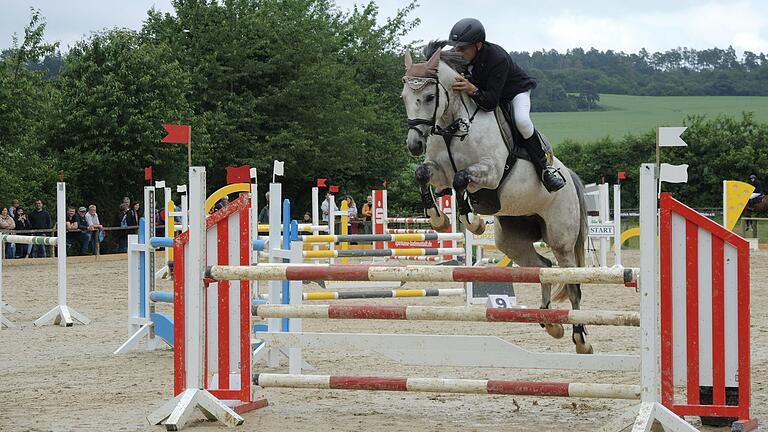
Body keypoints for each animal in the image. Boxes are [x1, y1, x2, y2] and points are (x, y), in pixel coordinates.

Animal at [402, 43, 592, 354]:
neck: (454, 125)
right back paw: (550, 322)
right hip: (512, 239)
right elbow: (423, 174)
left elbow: (462, 179)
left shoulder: (489, 172)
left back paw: (581, 339)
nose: (414, 144)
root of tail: (570, 175)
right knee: (543, 268)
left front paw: (473, 221)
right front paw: (438, 218)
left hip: (561, 238)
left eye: (430, 97)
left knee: (571, 282)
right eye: (404, 97)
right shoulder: (439, 173)